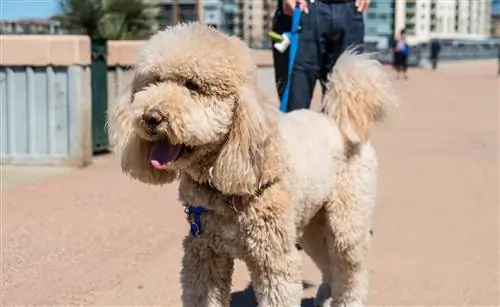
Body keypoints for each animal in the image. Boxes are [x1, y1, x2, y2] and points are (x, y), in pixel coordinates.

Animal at [107, 22, 396, 306]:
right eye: (154, 82)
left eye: (193, 86)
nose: (150, 117)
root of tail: (338, 123)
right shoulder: (205, 253)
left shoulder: (274, 259)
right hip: (312, 224)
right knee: (328, 264)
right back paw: (325, 295)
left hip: (346, 220)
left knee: (351, 271)